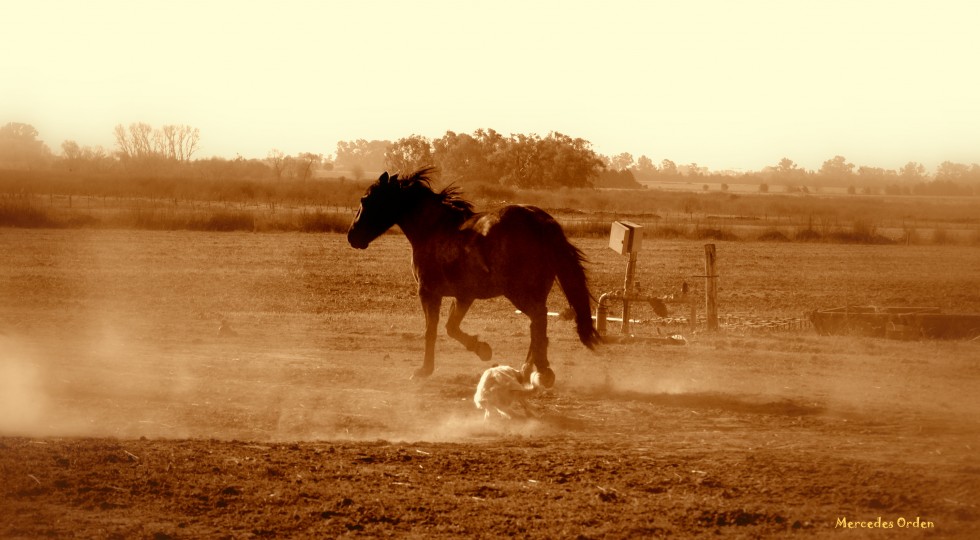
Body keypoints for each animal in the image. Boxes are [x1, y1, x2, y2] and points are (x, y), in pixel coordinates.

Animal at [348, 167, 600, 386]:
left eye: (365, 200)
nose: (352, 236)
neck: (433, 230)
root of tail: (540, 222)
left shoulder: (428, 293)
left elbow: (432, 331)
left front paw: (424, 370)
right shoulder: (463, 296)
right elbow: (451, 327)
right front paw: (482, 349)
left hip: (519, 294)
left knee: (538, 322)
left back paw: (540, 371)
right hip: (532, 294)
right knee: (537, 328)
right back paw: (526, 372)